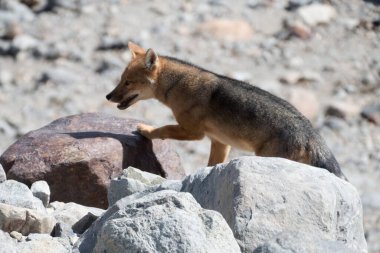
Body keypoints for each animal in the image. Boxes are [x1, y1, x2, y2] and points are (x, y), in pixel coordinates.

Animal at [106, 41, 348, 180]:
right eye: (120, 80)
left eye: (127, 82)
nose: (108, 96)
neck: (178, 85)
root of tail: (312, 133)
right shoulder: (220, 142)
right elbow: (212, 165)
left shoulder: (194, 133)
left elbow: (163, 129)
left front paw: (145, 130)